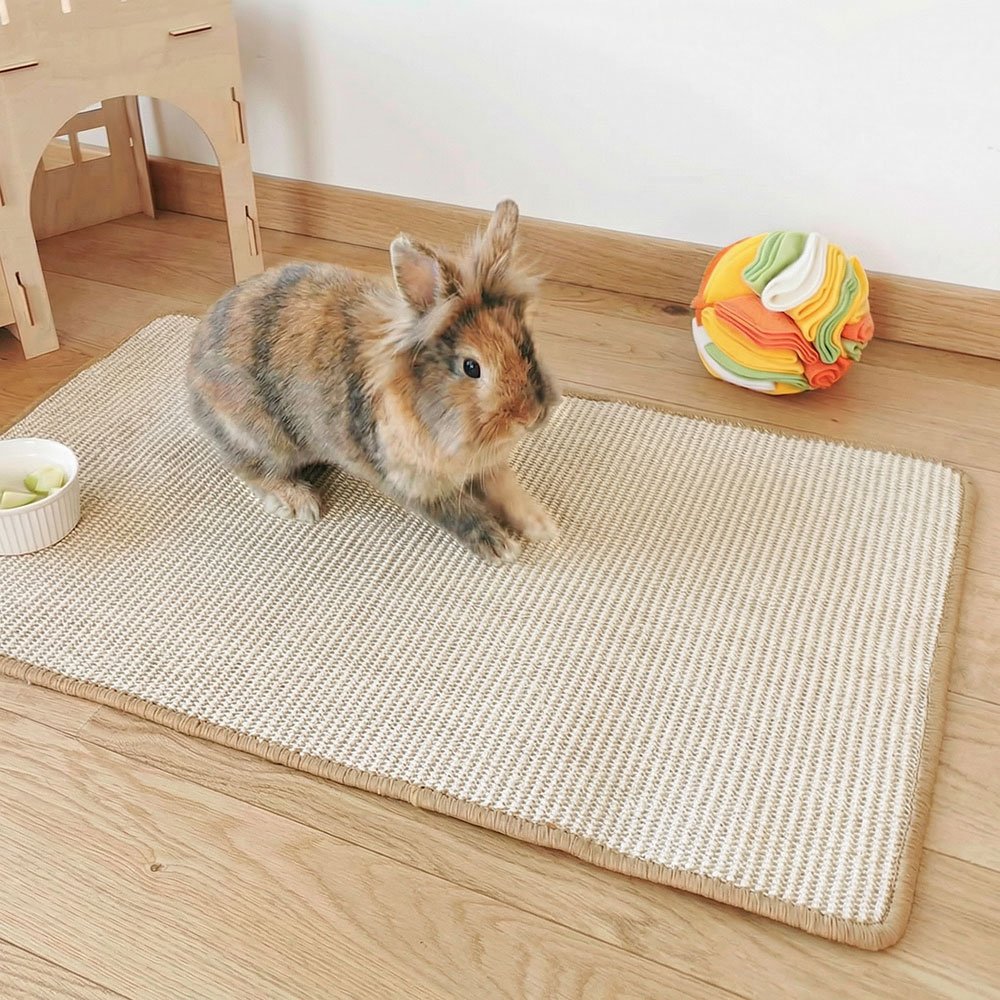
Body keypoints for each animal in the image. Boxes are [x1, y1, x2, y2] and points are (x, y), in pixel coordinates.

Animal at [187, 199, 561, 564]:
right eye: (471, 367)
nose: (530, 418)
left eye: (526, 344)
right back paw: (299, 500)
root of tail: (192, 371)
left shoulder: (487, 467)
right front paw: (500, 546)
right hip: (262, 438)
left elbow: (506, 489)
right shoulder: (415, 481)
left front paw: (542, 525)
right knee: (250, 469)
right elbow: (460, 513)